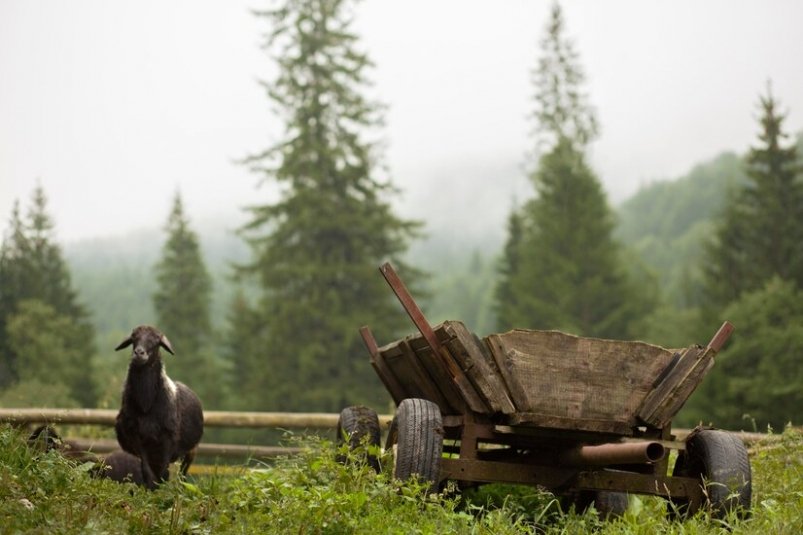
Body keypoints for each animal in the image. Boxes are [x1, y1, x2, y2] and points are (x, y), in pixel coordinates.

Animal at [114, 326, 206, 490]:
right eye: (134, 338)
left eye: (156, 341)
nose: (139, 353)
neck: (146, 403)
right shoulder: (137, 437)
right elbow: (147, 472)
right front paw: (151, 490)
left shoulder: (168, 438)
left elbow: (165, 473)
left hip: (191, 450)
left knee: (183, 474)